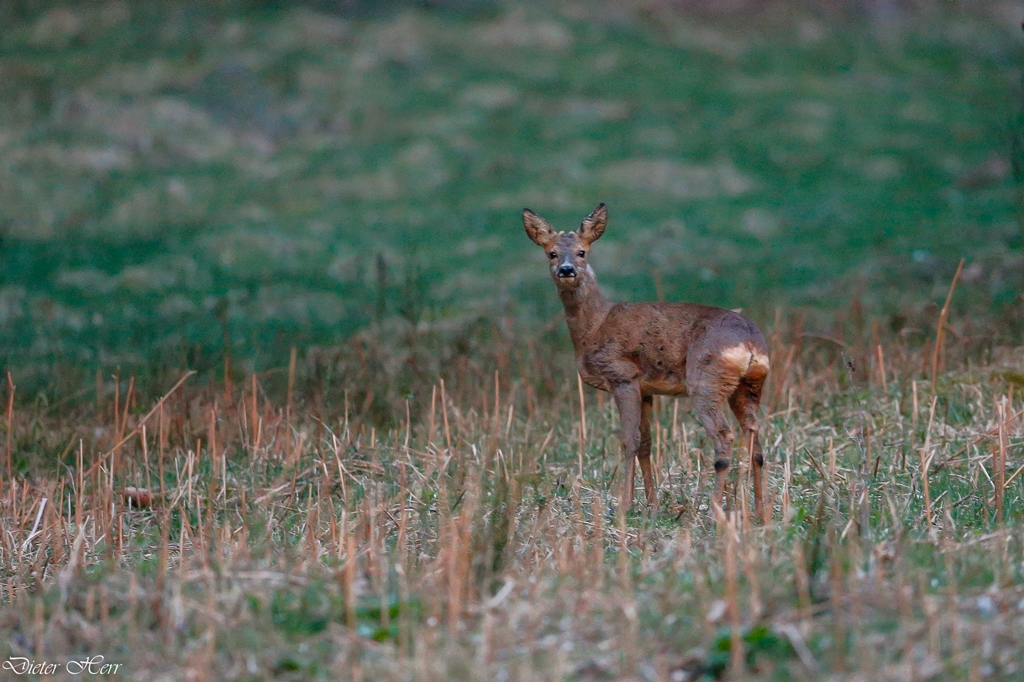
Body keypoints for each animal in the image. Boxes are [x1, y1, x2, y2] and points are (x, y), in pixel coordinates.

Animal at [528, 201, 770, 516]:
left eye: (582, 251)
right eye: (551, 253)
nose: (566, 270)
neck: (594, 326)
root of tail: (752, 344)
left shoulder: (623, 376)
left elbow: (629, 441)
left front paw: (624, 504)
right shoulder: (647, 390)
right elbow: (646, 443)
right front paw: (652, 504)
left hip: (706, 382)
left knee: (724, 437)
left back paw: (714, 510)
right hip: (749, 386)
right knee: (754, 437)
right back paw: (760, 510)